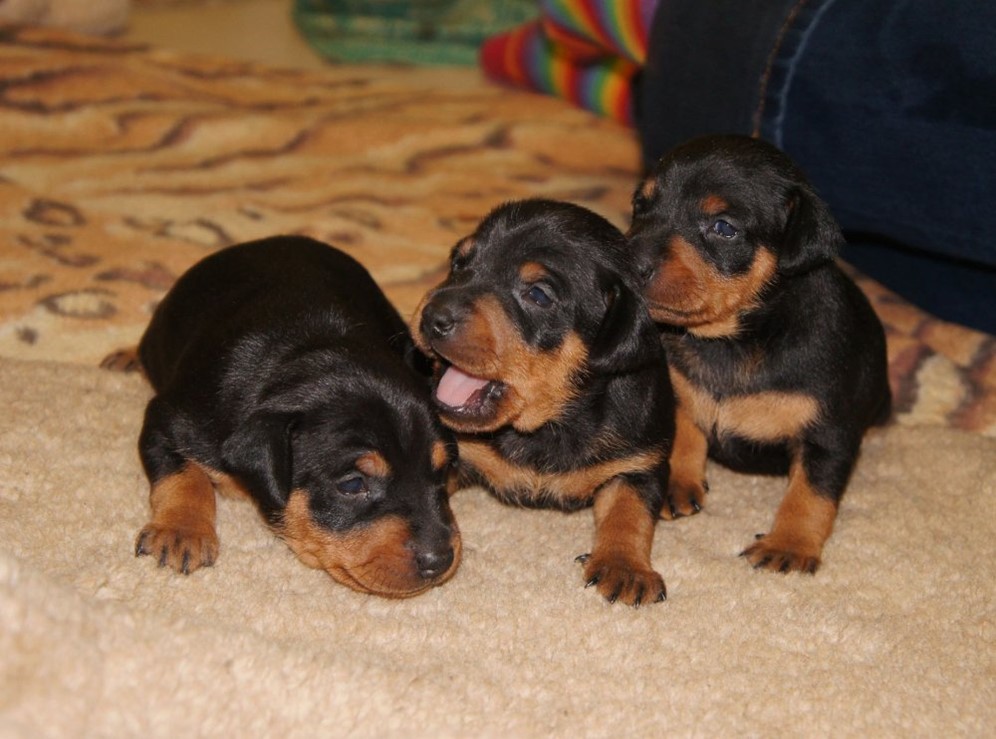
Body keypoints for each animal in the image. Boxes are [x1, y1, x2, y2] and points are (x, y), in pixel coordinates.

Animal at [103, 240, 462, 600]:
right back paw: (126, 357)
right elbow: (181, 474)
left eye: (442, 470)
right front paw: (181, 531)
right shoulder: (169, 419)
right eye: (352, 484)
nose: (441, 560)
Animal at [410, 198, 676, 608]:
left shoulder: (639, 464)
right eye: (458, 263)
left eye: (538, 295)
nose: (431, 316)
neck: (549, 425)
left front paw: (625, 568)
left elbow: (629, 514)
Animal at [628, 136, 892, 576]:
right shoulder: (679, 390)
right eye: (639, 205)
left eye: (723, 228)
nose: (627, 262)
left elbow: (810, 495)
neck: (733, 340)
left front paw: (789, 544)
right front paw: (675, 482)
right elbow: (684, 433)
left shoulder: (829, 435)